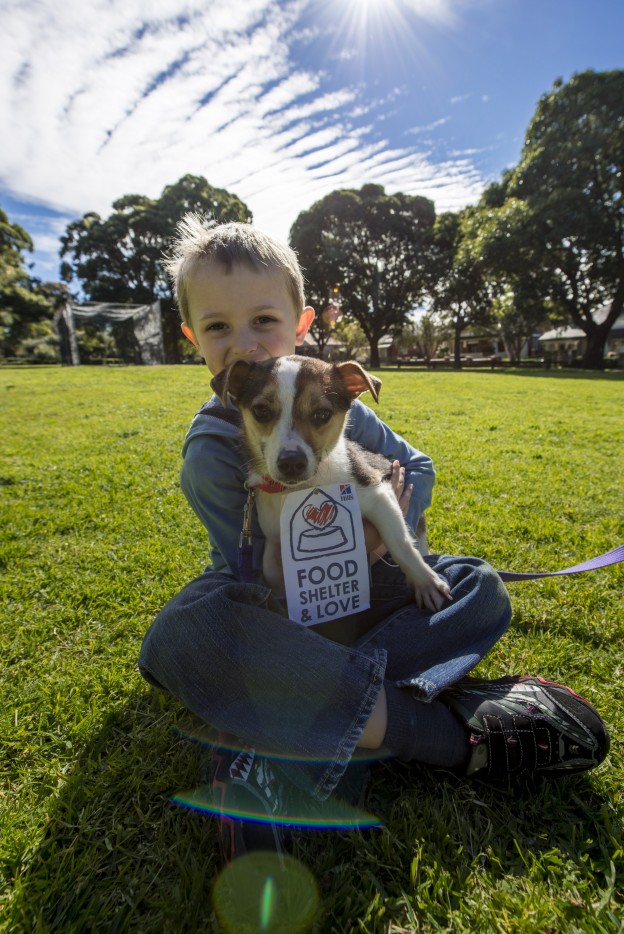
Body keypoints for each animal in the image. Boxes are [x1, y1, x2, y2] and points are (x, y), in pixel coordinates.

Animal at [212, 358, 450, 616]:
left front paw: (425, 582)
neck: (303, 487)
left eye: (323, 414)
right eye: (261, 411)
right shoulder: (275, 540)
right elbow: (271, 572)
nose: (291, 462)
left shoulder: (378, 493)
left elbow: (400, 543)